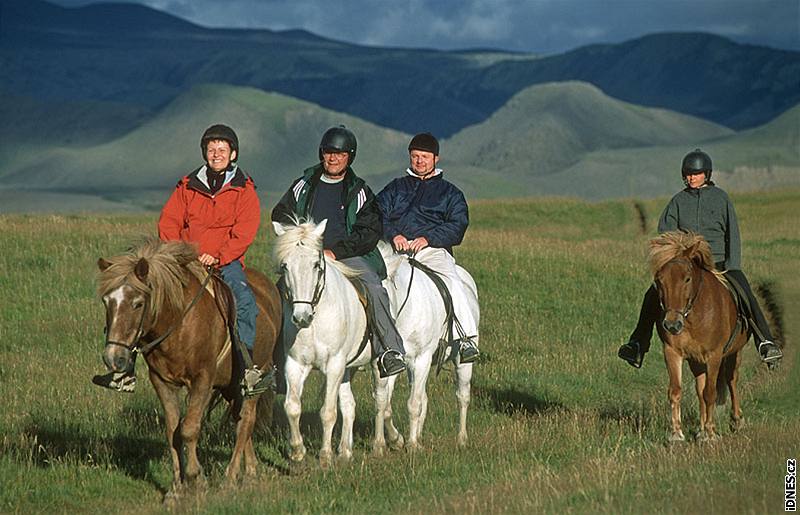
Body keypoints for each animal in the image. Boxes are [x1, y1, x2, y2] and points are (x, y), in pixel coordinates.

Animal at [97, 241, 282, 500]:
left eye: (138, 303)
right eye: (107, 302)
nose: (113, 358)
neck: (179, 323)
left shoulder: (202, 379)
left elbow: (189, 429)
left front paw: (196, 478)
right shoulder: (162, 382)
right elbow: (173, 431)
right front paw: (176, 487)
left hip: (255, 378)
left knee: (246, 421)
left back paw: (231, 478)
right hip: (230, 386)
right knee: (240, 420)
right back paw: (251, 473)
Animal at [274, 221, 398, 468]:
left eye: (316, 265)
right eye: (285, 266)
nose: (301, 317)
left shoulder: (334, 365)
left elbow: (328, 412)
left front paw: (324, 456)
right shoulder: (295, 365)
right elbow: (292, 407)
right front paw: (297, 452)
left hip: (375, 364)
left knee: (380, 401)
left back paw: (379, 445)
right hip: (347, 369)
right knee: (349, 406)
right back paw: (345, 451)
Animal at [378, 240, 478, 450]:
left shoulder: (421, 358)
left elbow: (414, 403)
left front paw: (412, 445)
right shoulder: (396, 361)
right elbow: (389, 406)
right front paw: (397, 439)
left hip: (462, 363)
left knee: (463, 397)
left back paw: (462, 439)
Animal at [652, 231, 748, 444]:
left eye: (687, 279)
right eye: (660, 280)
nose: (672, 324)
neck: (693, 316)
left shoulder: (714, 355)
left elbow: (711, 393)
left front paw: (711, 435)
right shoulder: (672, 352)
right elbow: (676, 391)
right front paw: (676, 434)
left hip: (734, 353)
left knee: (731, 381)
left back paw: (736, 421)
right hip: (697, 361)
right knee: (700, 388)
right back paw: (701, 429)